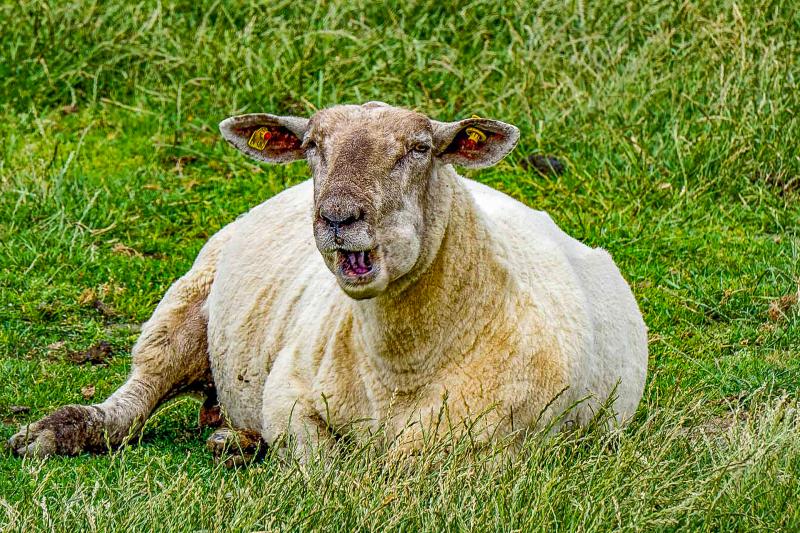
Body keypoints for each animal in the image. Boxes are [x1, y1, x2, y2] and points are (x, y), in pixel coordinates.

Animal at [8, 102, 648, 462]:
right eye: (313, 146)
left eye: (421, 148)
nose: (338, 217)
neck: (401, 370)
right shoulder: (290, 395)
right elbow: (326, 467)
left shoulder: (484, 442)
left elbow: (391, 470)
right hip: (187, 301)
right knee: (135, 398)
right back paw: (55, 433)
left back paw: (232, 440)